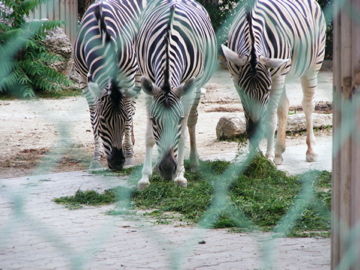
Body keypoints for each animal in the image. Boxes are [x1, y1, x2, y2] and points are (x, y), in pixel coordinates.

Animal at [74, 0, 147, 171]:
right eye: (103, 121)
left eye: (123, 119)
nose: (117, 163)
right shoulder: (83, 79)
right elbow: (93, 115)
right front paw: (96, 157)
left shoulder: (128, 75)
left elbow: (129, 111)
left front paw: (129, 155)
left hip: (140, 69)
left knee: (134, 105)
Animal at [136, 0, 217, 189]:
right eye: (154, 121)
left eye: (179, 120)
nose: (167, 170)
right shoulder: (149, 88)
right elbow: (149, 137)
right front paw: (145, 177)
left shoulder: (187, 91)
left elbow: (183, 136)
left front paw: (180, 176)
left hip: (197, 87)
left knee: (193, 121)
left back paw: (194, 163)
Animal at [222, 0, 326, 165]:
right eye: (244, 91)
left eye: (266, 91)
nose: (254, 132)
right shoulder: (236, 79)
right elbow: (247, 117)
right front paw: (253, 157)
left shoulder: (276, 78)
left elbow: (270, 119)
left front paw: (268, 157)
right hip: (283, 75)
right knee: (284, 106)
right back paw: (279, 152)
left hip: (311, 66)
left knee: (308, 105)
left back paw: (310, 151)